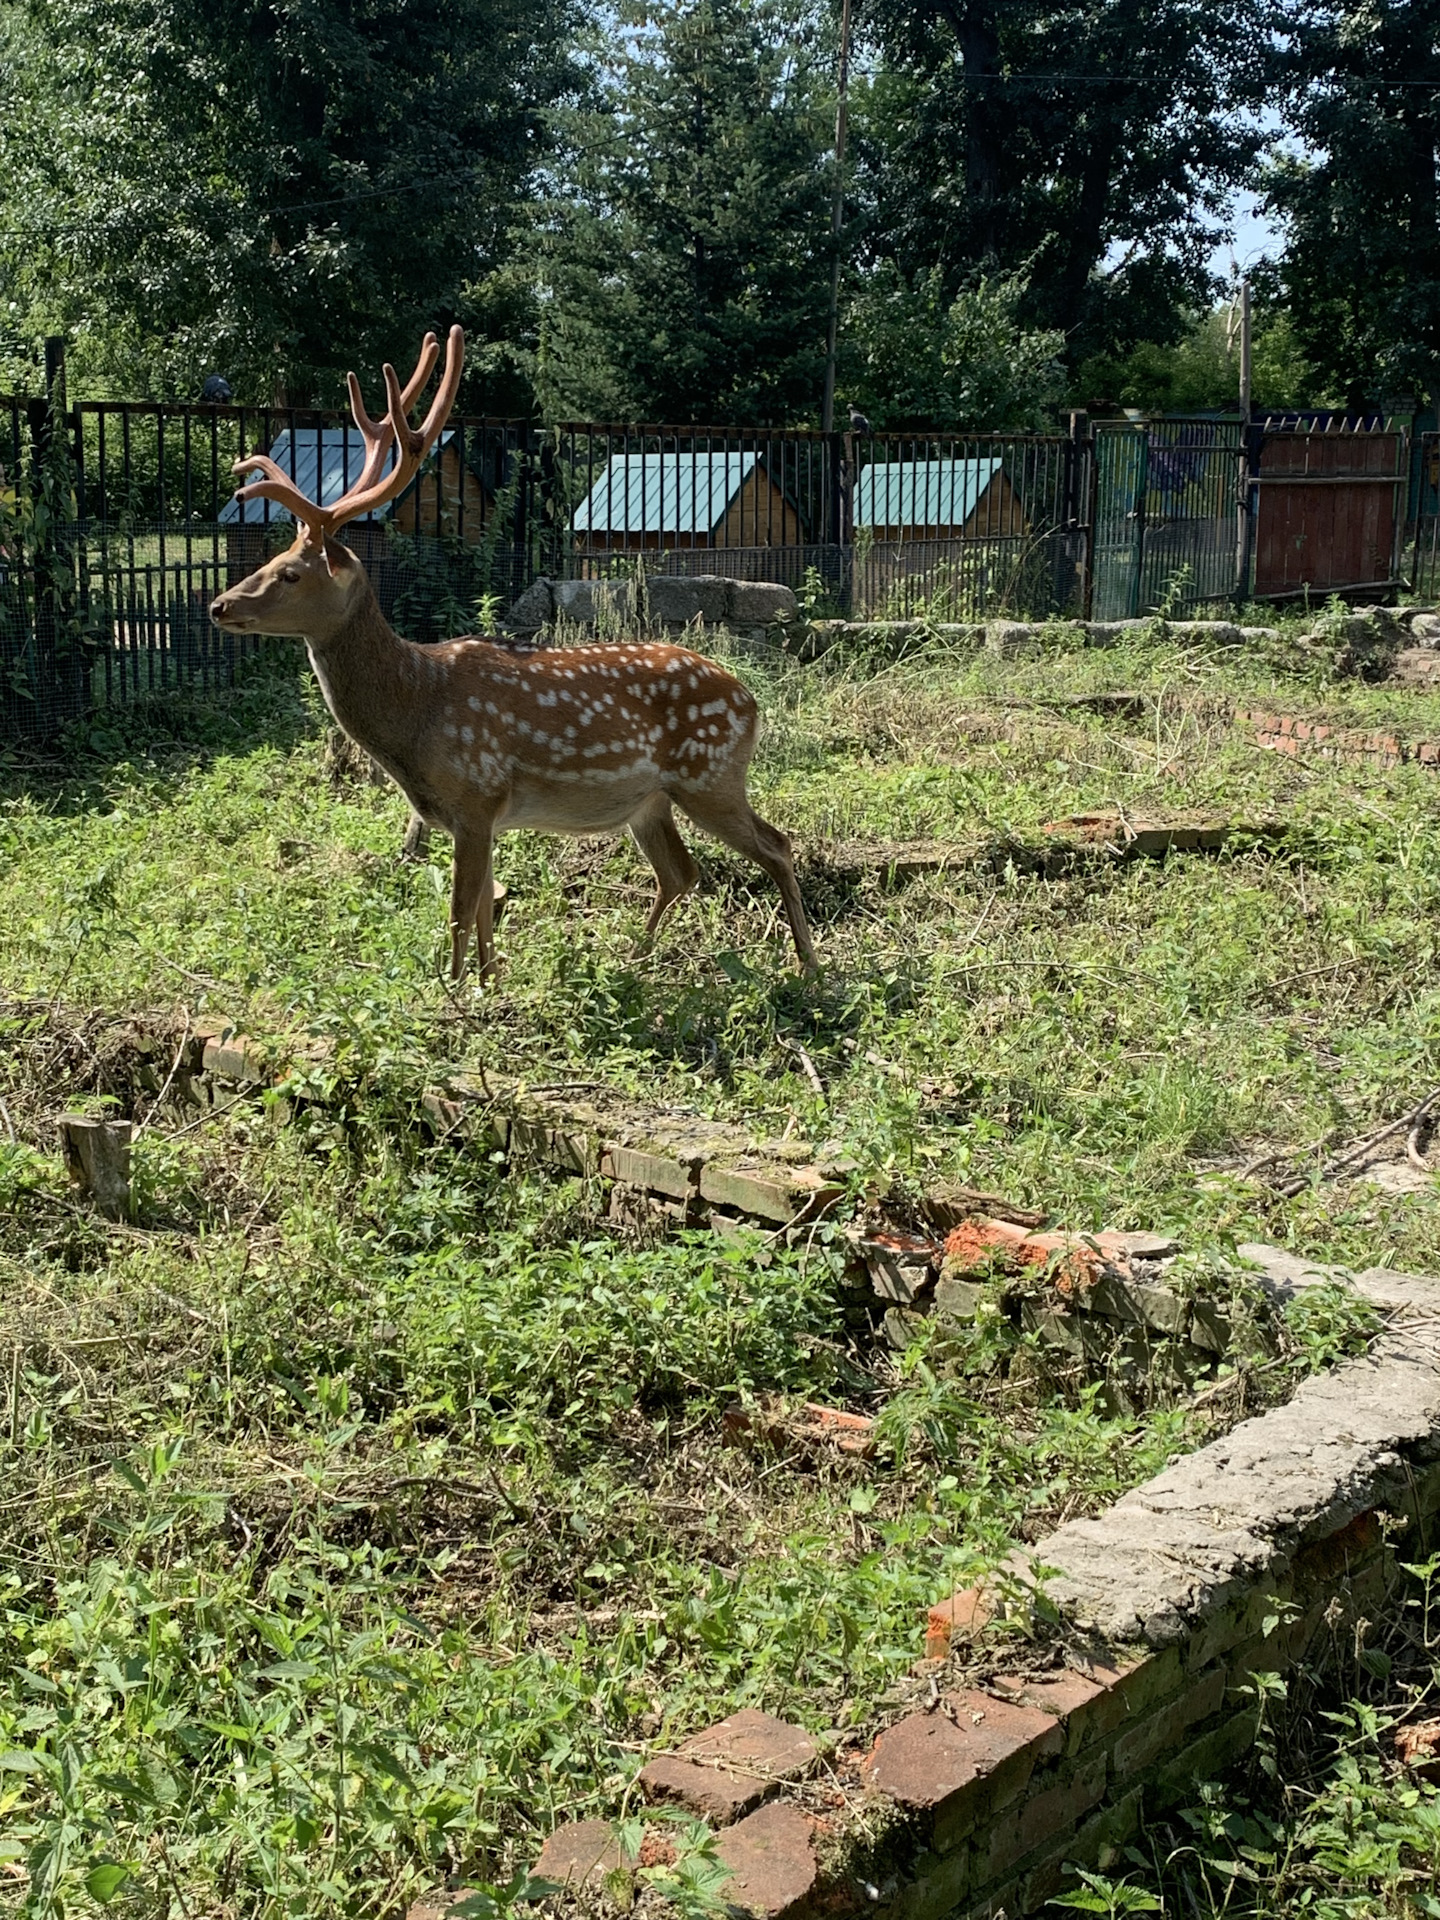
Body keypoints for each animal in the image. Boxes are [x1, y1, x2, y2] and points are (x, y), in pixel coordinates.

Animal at [214, 328, 821, 983]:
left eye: (292, 573)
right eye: (271, 559)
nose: (220, 605)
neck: (416, 710)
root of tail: (752, 702)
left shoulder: (476, 793)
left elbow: (460, 911)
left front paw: (453, 993)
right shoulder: (477, 815)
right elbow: (484, 908)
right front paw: (489, 982)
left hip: (710, 774)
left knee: (777, 845)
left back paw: (809, 967)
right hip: (651, 800)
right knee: (681, 871)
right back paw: (633, 960)